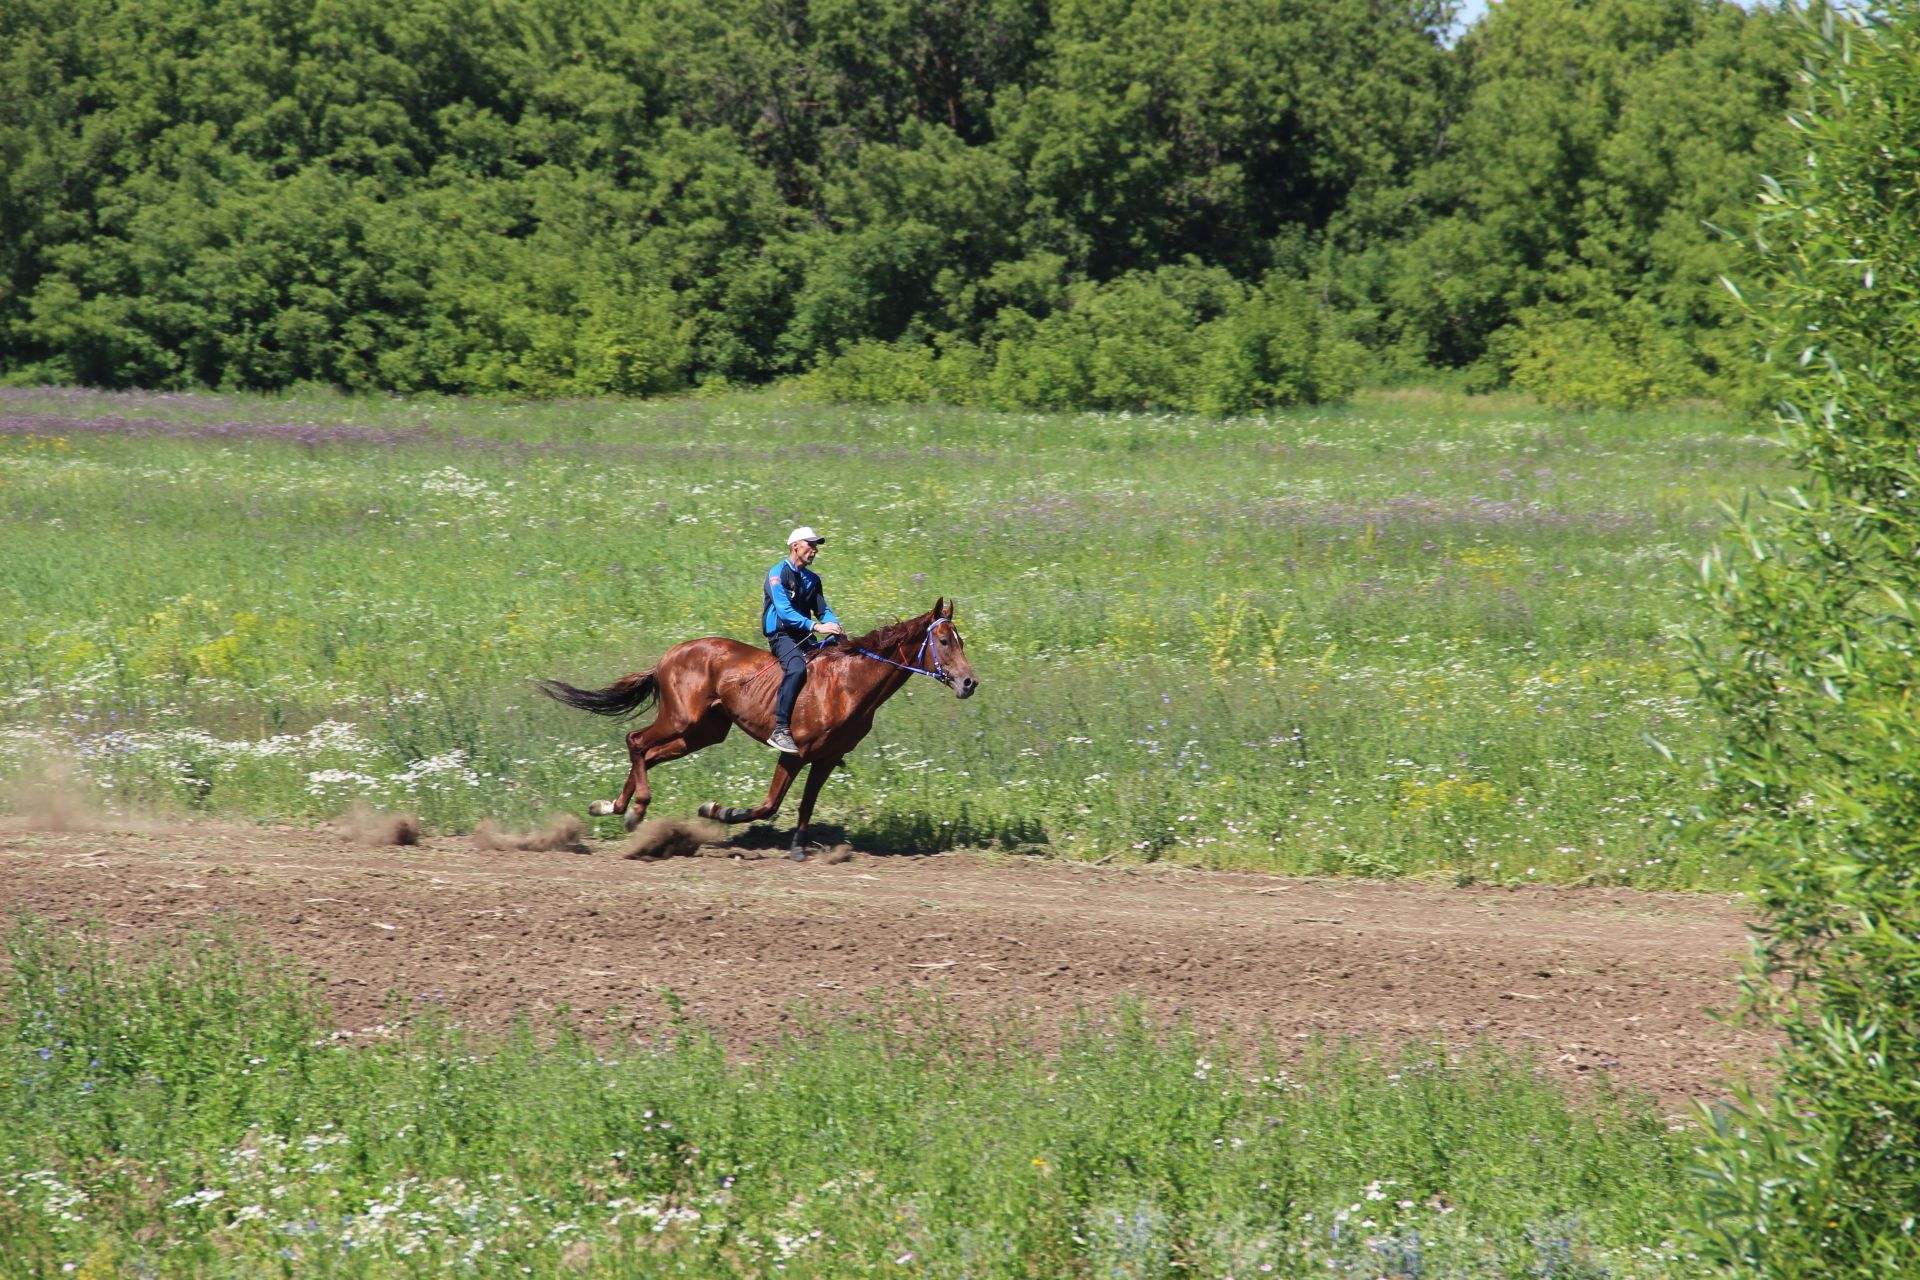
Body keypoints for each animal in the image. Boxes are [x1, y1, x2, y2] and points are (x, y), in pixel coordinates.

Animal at [537, 602, 975, 859]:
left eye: (961, 640)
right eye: (942, 640)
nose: (969, 682)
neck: (849, 683)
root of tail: (668, 656)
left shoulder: (826, 758)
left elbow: (804, 805)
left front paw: (798, 847)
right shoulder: (793, 753)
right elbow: (769, 805)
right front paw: (717, 810)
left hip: (703, 732)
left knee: (648, 753)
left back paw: (614, 806)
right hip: (681, 720)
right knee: (636, 741)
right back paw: (635, 809)